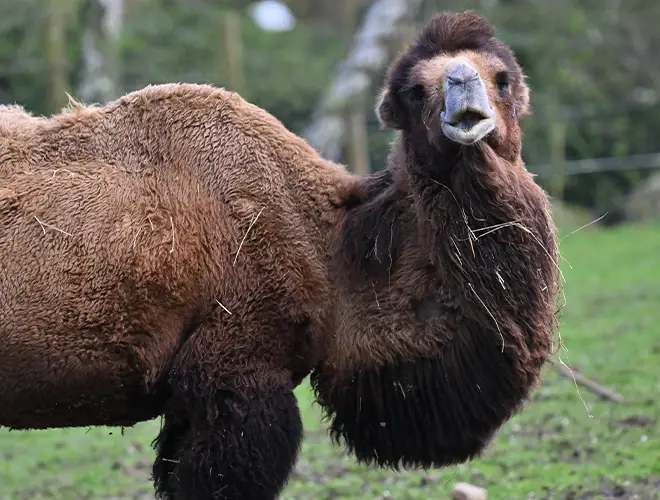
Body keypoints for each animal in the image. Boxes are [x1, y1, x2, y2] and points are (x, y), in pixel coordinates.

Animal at [0, 11, 560, 500]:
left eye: (502, 79)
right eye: (414, 91)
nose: (463, 91)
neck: (327, 244)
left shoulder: (190, 399)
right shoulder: (239, 369)